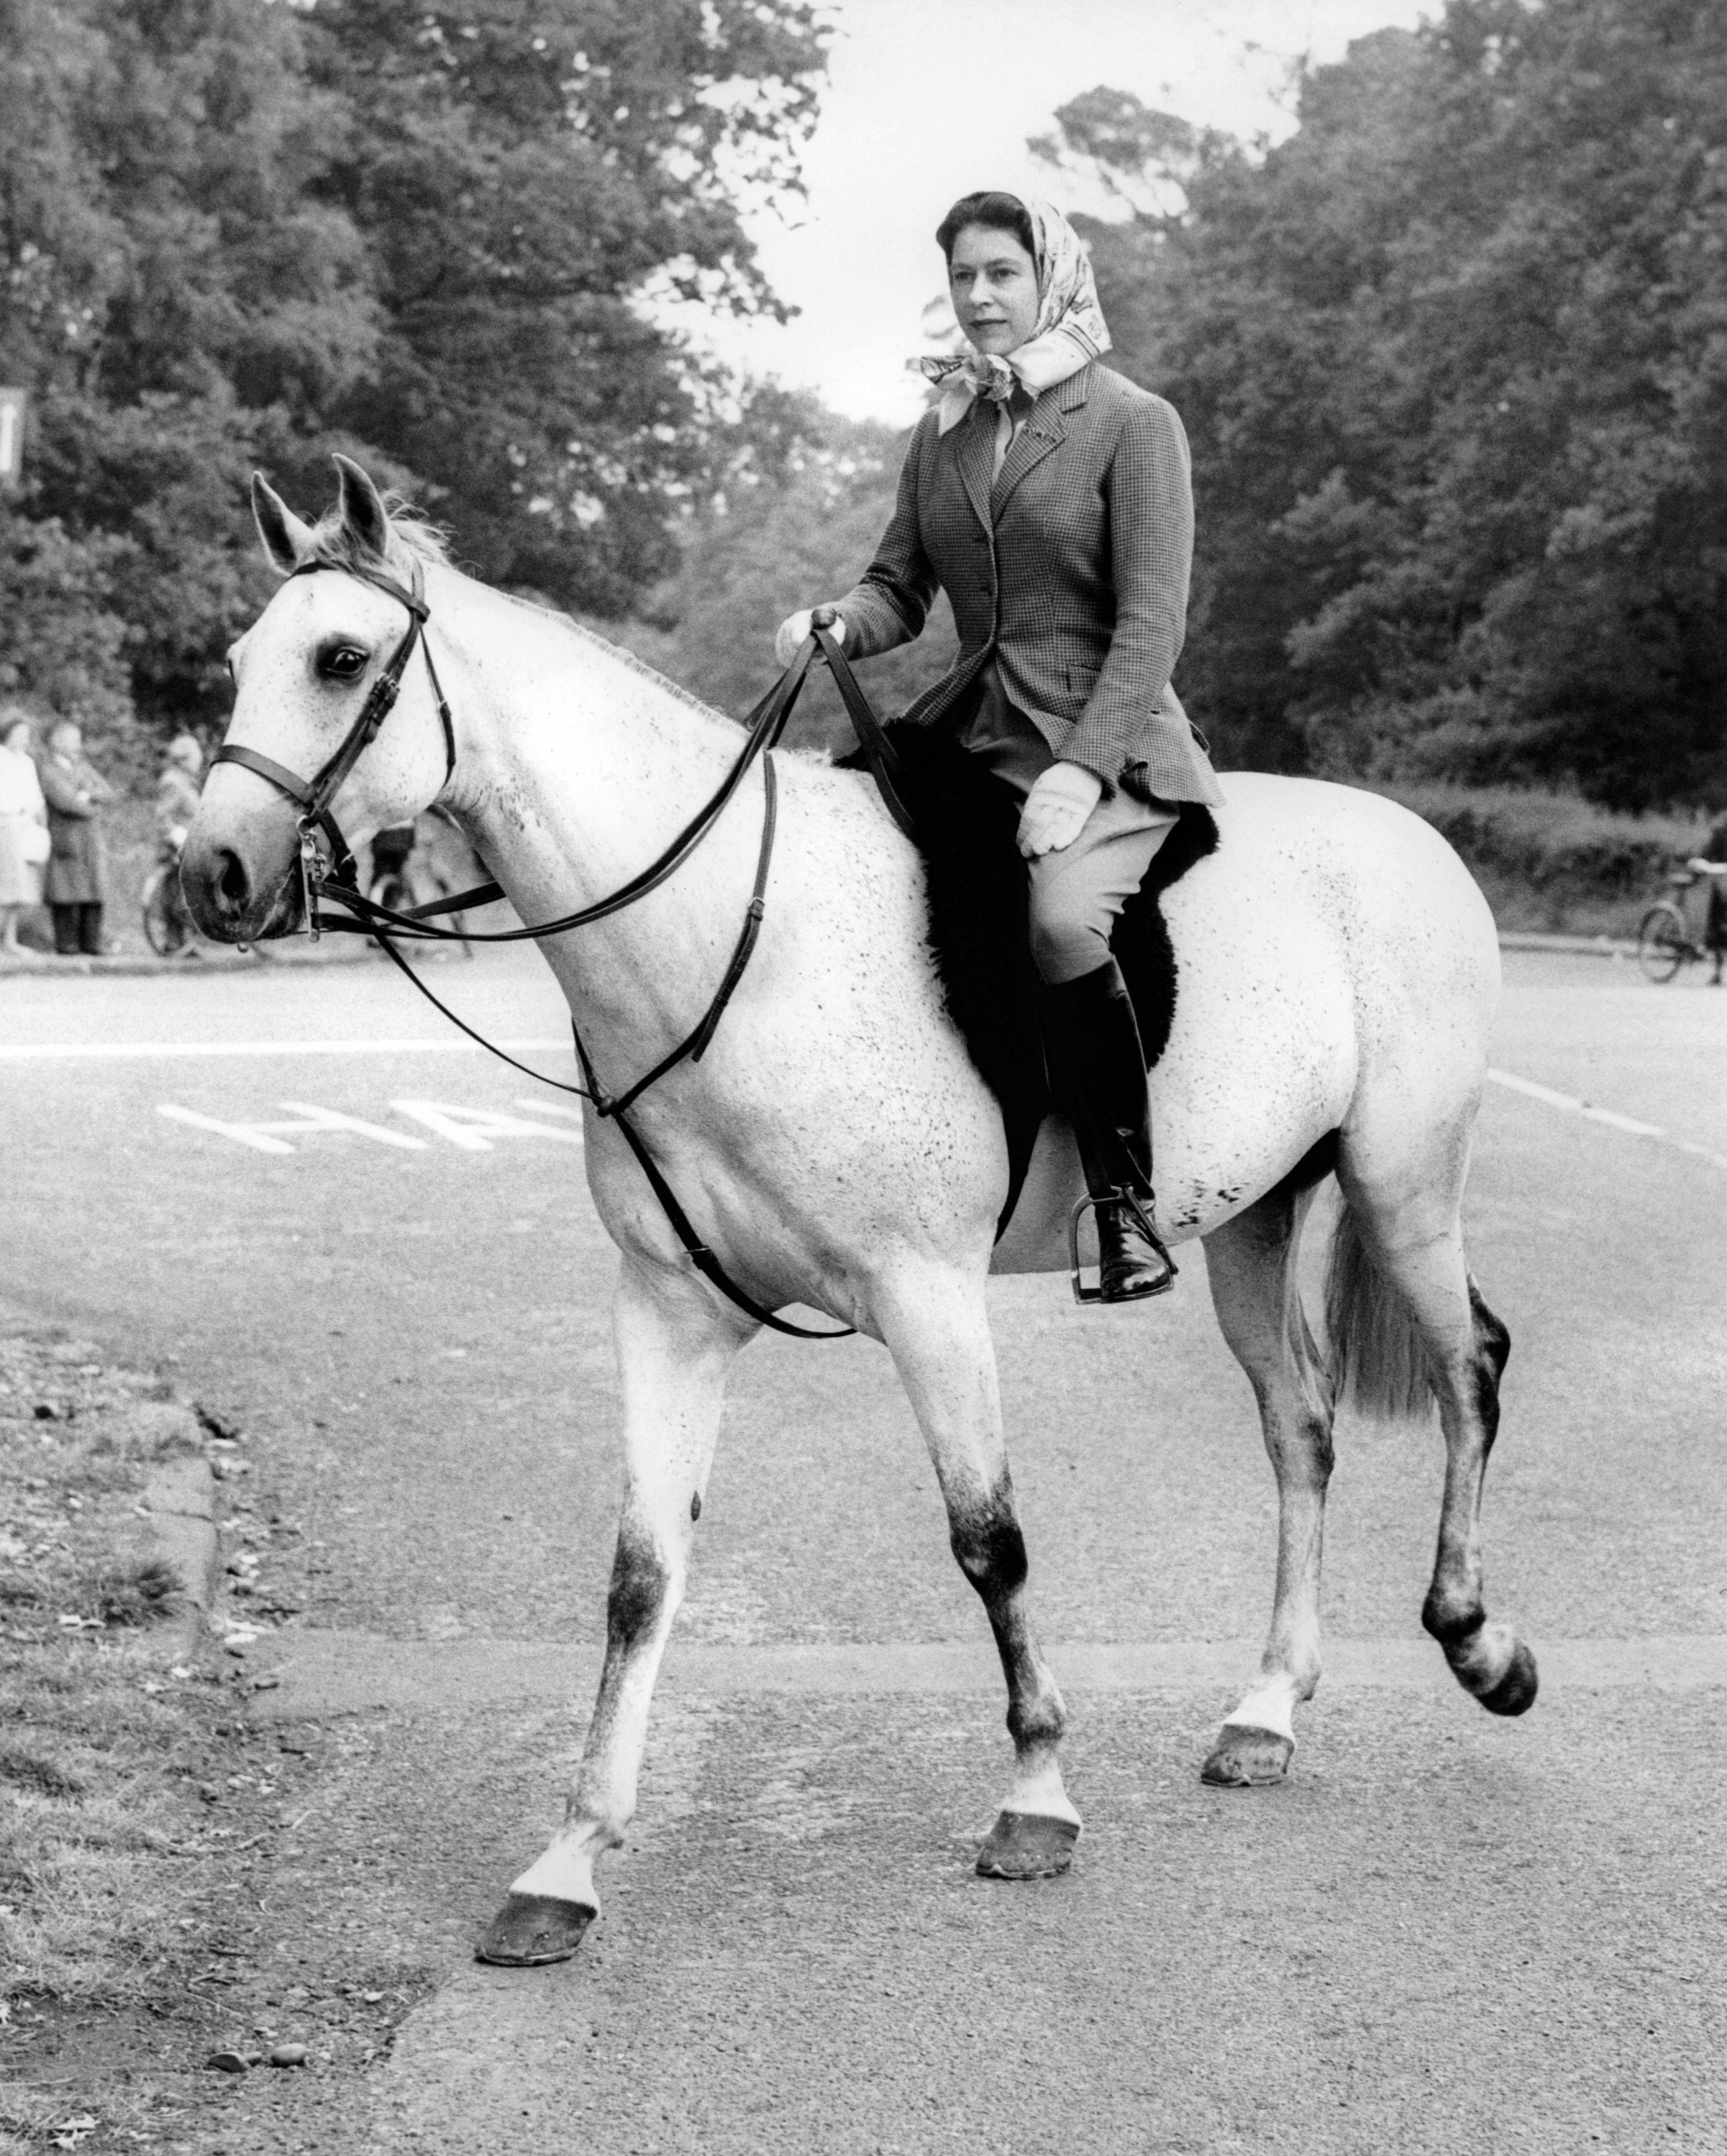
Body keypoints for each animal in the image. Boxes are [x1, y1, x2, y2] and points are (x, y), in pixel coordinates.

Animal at [185, 459, 1535, 1975]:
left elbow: (987, 1539)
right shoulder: (666, 1310)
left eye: (339, 658)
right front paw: (568, 1859)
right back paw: (1265, 1708)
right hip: (1256, 1217)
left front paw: (1036, 1794)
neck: (737, 937)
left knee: (1466, 1368)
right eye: (235, 662)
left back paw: (1477, 1644)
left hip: (1401, 1184)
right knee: (1297, 1427)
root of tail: (1407, 834)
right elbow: (640, 1575)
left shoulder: (924, 1294)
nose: (210, 873)